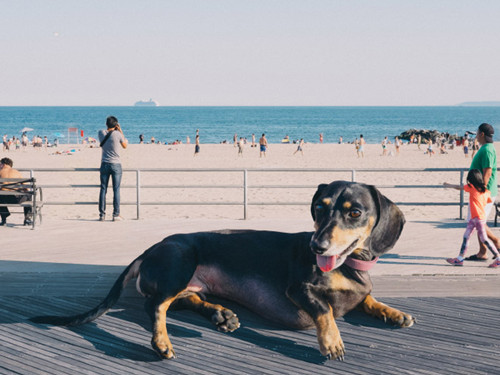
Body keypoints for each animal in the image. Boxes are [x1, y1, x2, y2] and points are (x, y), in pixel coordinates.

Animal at [30, 181, 414, 362]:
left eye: (354, 212)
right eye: (319, 208)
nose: (316, 247)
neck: (350, 266)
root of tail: (149, 249)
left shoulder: (360, 291)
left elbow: (369, 300)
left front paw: (394, 313)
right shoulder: (298, 289)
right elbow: (325, 310)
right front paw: (332, 341)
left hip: (190, 282)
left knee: (182, 301)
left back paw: (221, 315)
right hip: (181, 259)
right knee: (156, 306)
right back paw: (163, 341)